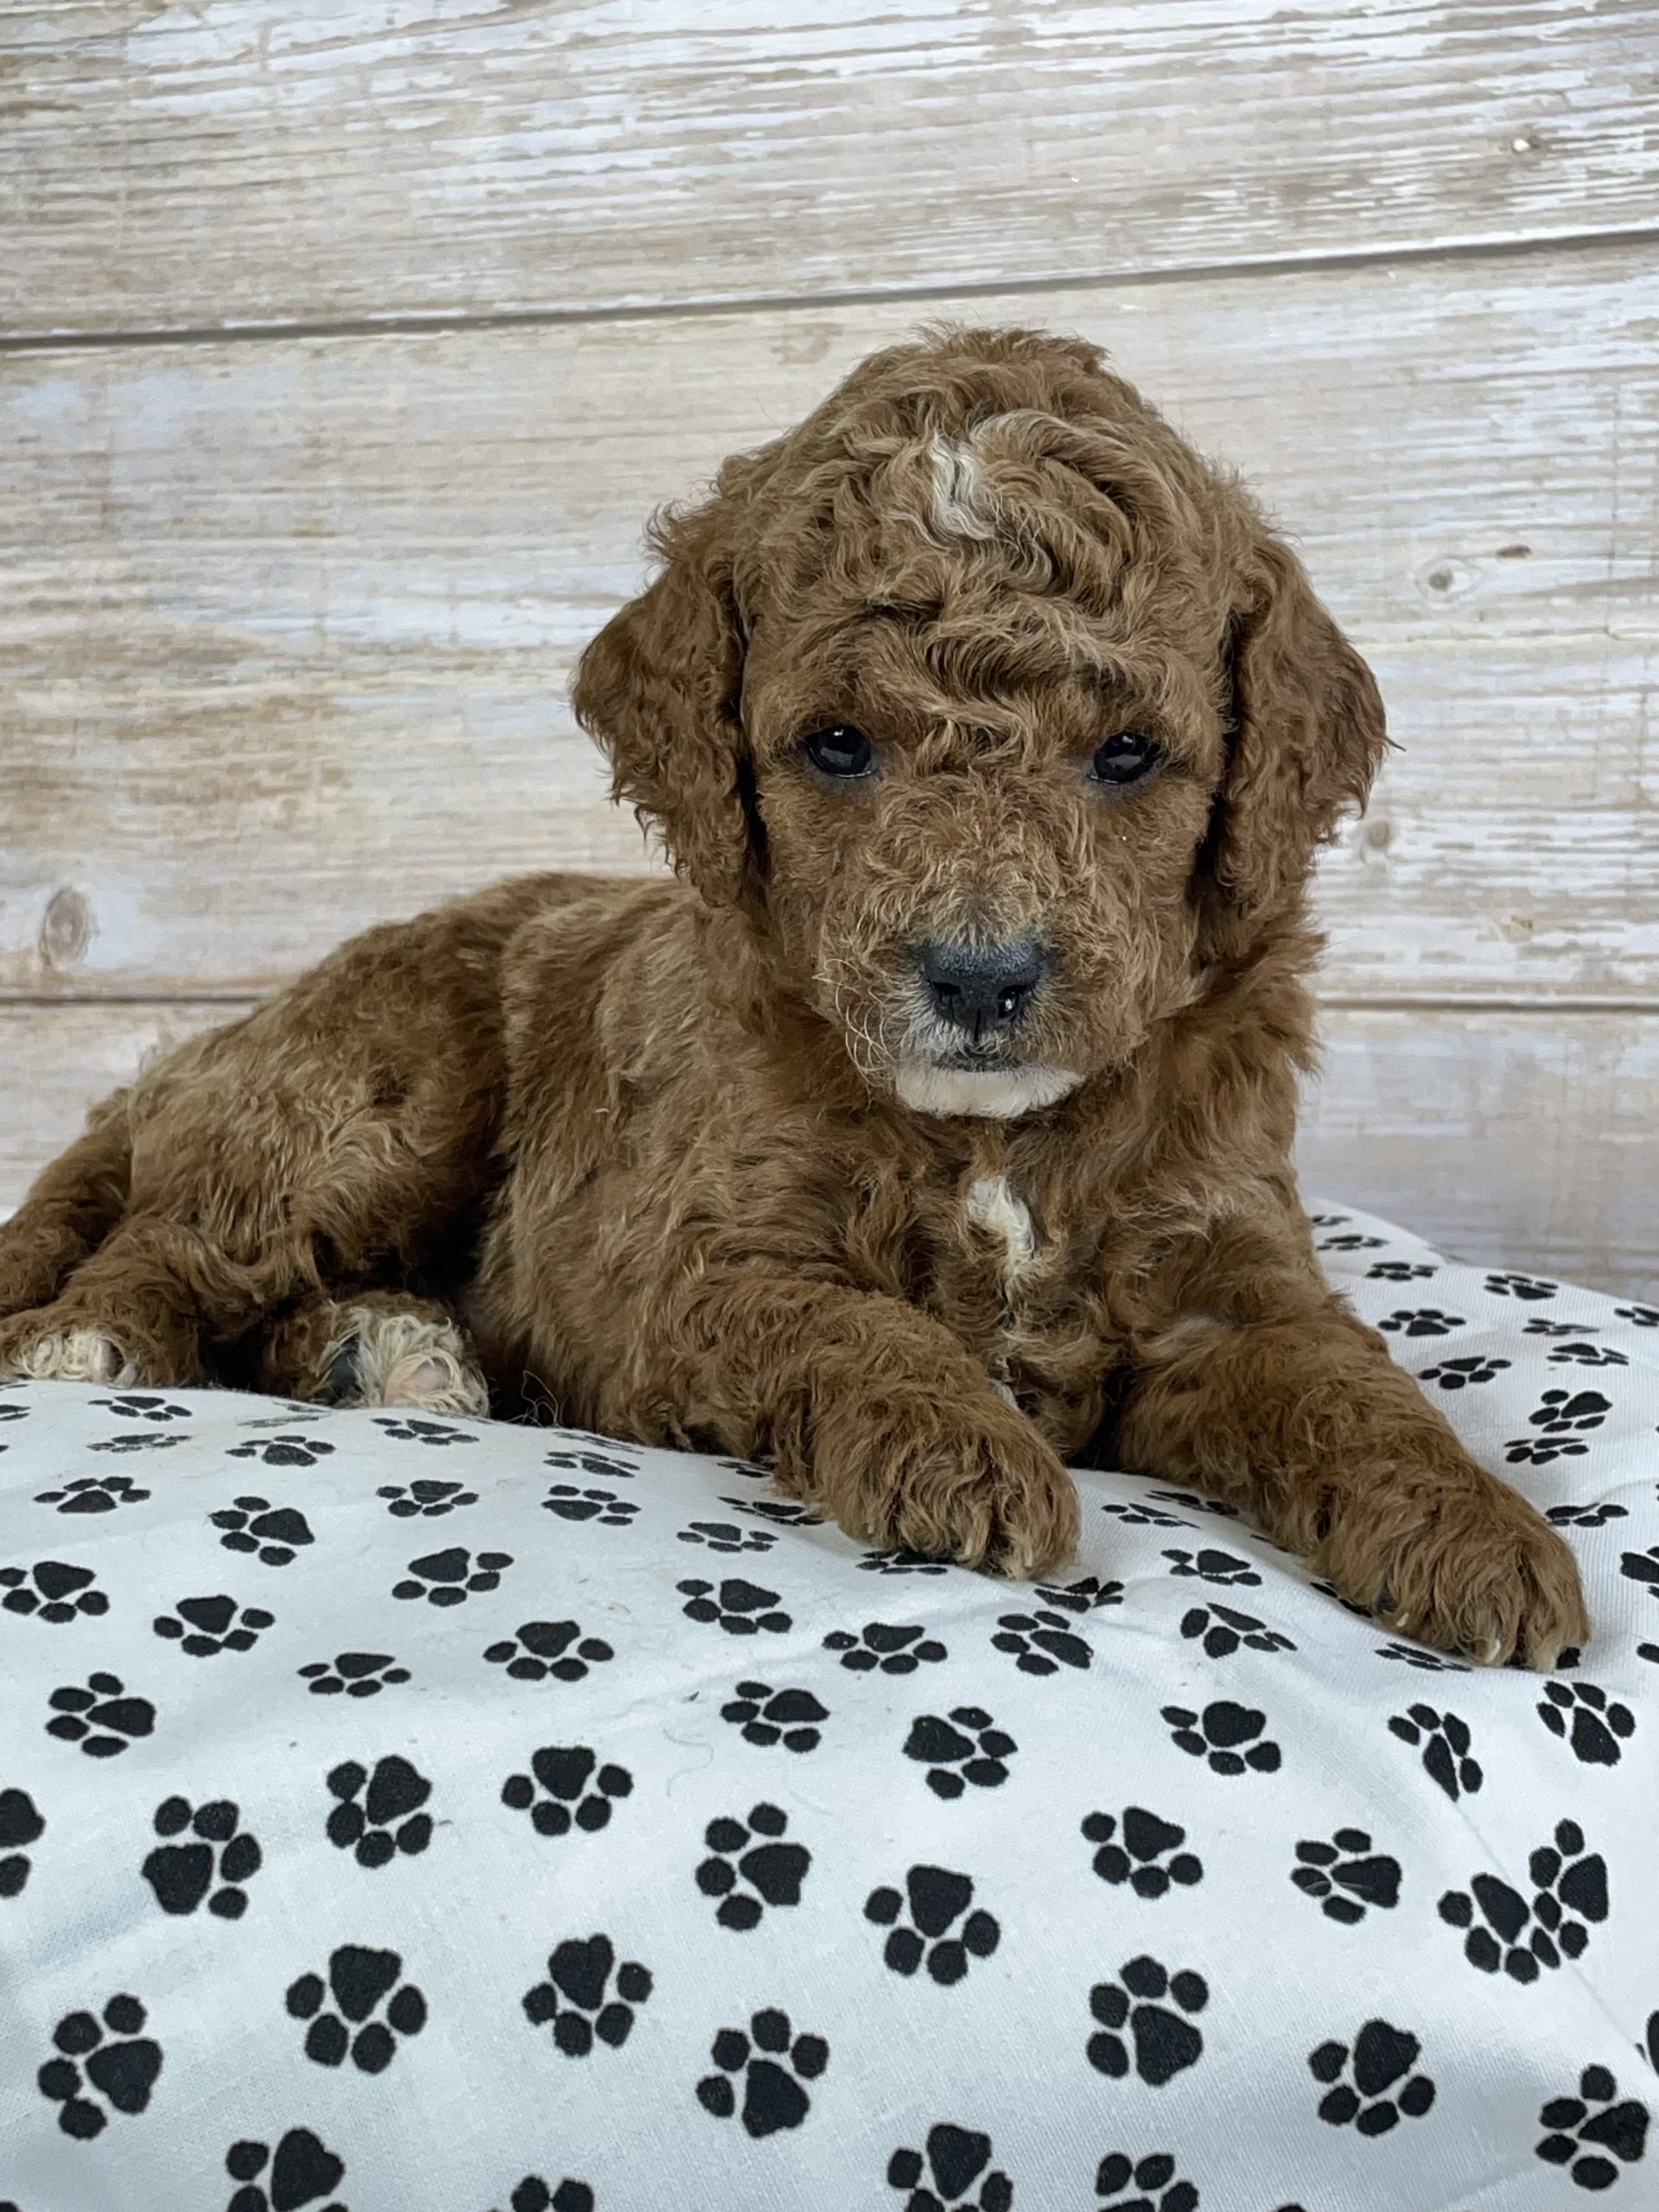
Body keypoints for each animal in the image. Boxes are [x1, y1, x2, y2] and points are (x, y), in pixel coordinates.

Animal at [0, 326, 1586, 1668]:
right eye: (836, 747)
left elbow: (1349, 1386)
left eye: (1130, 756)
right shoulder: (681, 1266)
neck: (996, 1140)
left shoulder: (1223, 1284)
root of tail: (188, 1057)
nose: (981, 977)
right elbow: (842, 1322)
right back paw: (106, 1342)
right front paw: (968, 1452)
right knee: (183, 1244)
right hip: (383, 1087)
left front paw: (1480, 1534)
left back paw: (381, 1354)